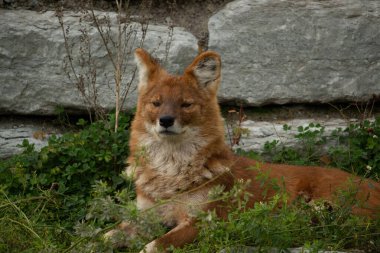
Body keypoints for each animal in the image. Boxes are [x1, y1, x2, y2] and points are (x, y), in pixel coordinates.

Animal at [106, 48, 380, 252]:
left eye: (186, 104)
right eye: (156, 103)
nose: (165, 120)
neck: (170, 170)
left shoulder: (205, 221)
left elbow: (152, 246)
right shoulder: (145, 215)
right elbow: (107, 235)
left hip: (332, 205)